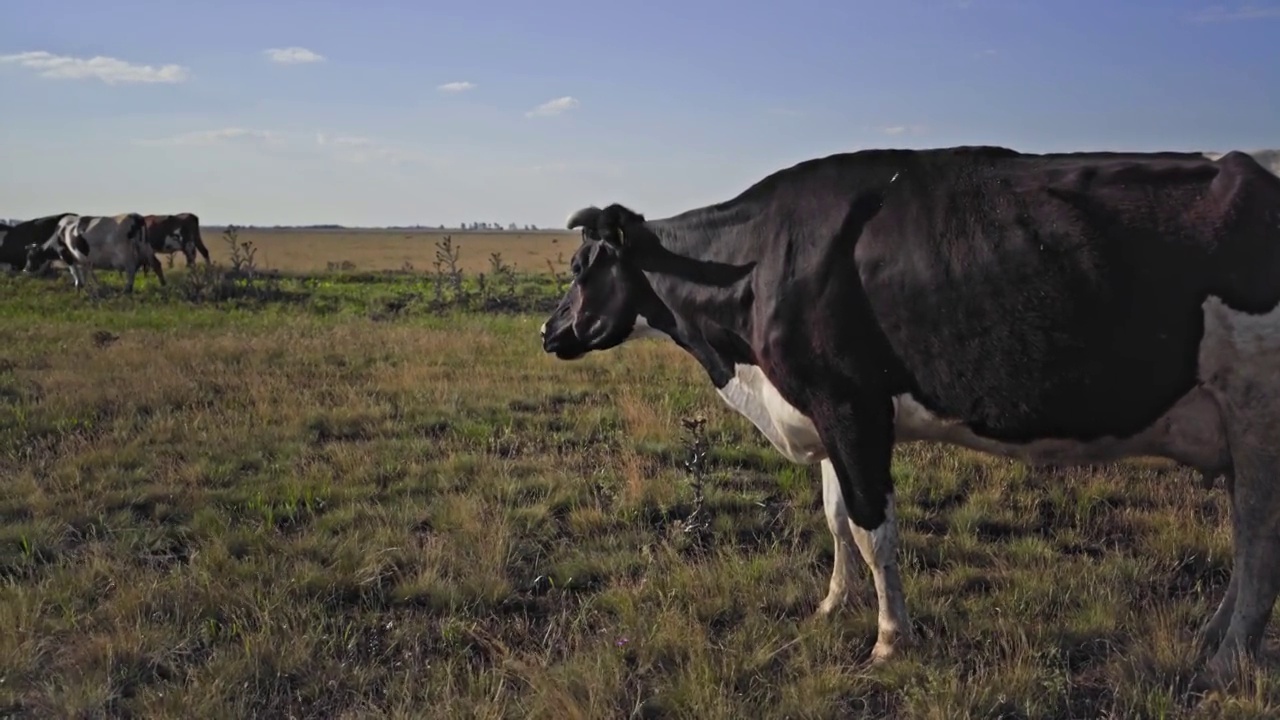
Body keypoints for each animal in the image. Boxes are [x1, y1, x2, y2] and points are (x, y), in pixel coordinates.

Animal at [24, 210, 163, 292]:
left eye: (31, 256)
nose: (25, 269)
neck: (60, 233)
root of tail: (135, 216)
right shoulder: (83, 260)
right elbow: (85, 274)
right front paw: (86, 287)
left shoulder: (67, 256)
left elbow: (75, 273)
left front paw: (78, 287)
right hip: (145, 247)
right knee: (156, 264)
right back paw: (164, 285)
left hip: (125, 254)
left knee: (131, 270)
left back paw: (127, 290)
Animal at [537, 144, 1280, 681]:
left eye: (578, 267)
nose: (548, 331)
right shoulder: (823, 409)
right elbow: (836, 517)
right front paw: (831, 605)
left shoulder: (852, 404)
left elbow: (874, 531)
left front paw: (890, 640)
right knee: (1246, 535)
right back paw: (1212, 634)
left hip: (1258, 414)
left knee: (1259, 538)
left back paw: (1227, 659)